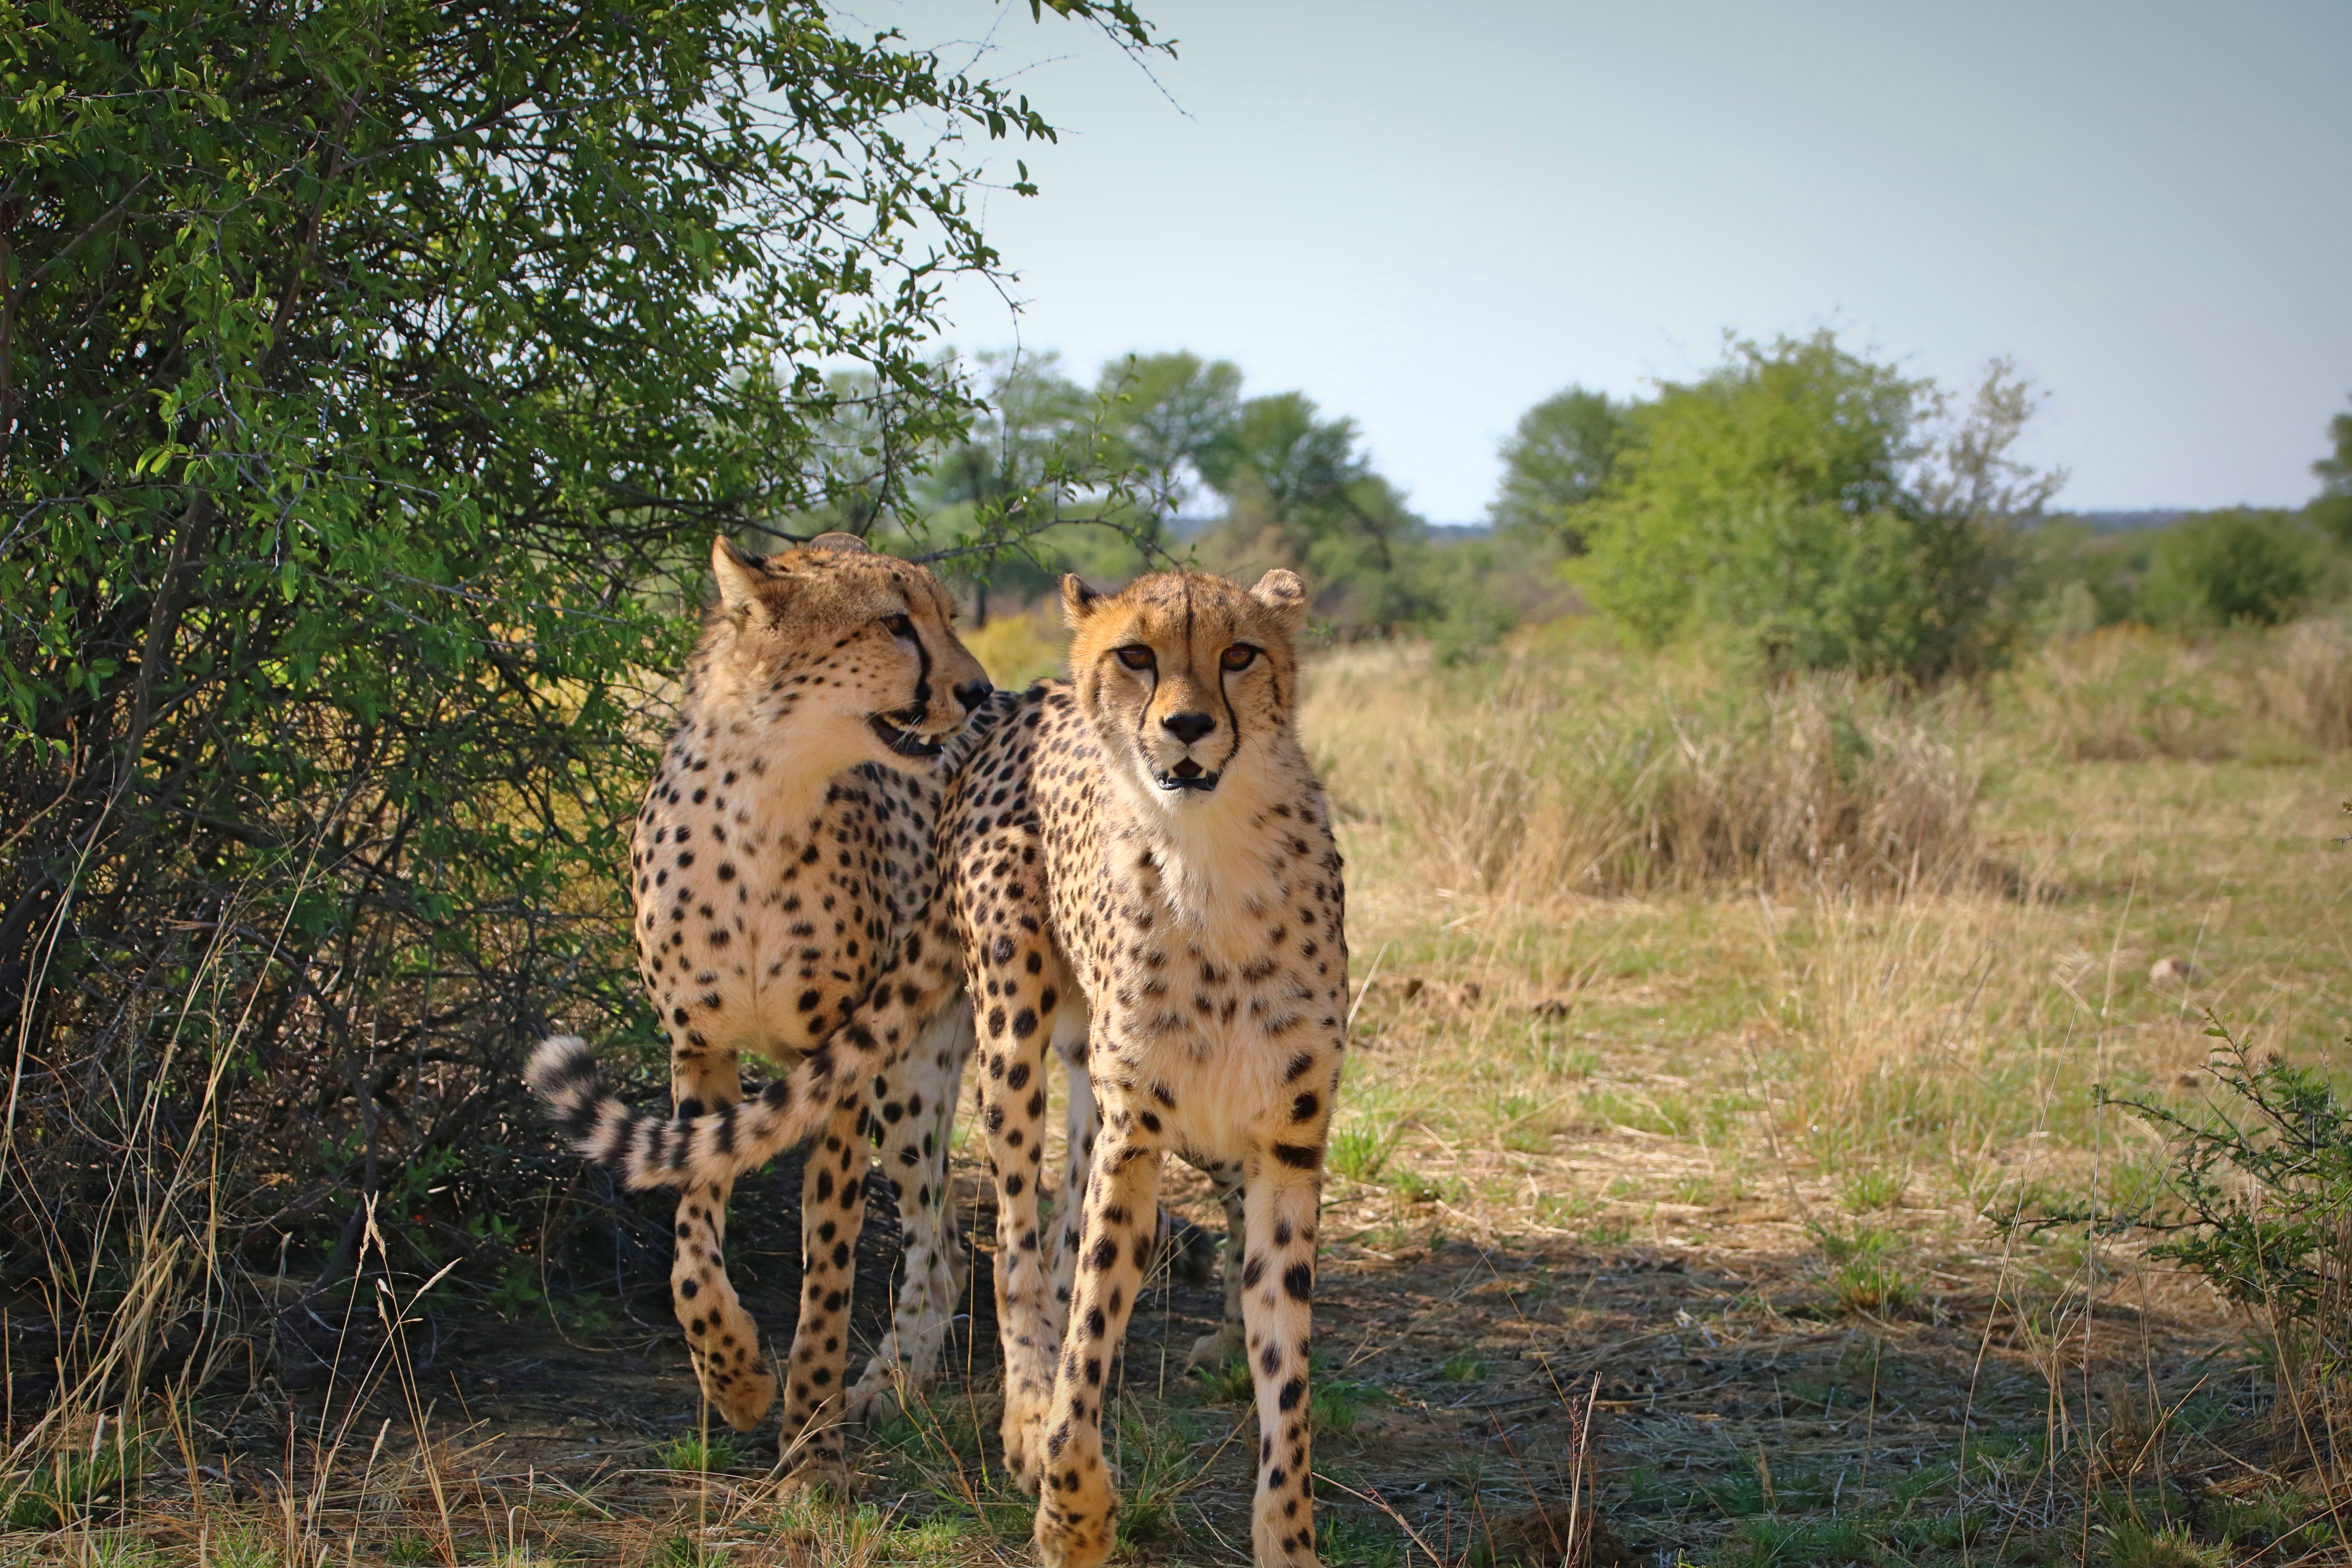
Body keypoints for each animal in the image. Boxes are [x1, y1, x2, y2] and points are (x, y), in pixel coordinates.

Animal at [524, 536, 993, 1486]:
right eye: (896, 623)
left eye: (948, 616)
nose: (977, 692)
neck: (766, 797)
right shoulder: (699, 1052)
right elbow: (690, 1244)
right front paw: (735, 1377)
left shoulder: (837, 1072)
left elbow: (829, 1274)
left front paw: (810, 1442)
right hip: (912, 1084)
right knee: (945, 1250)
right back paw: (889, 1387)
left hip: (932, 1066)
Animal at [936, 571, 1345, 1568]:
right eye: (1136, 654)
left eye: (1240, 653)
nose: (1188, 725)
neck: (1213, 862)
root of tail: (1027, 691)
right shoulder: (1137, 1131)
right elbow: (1087, 1317)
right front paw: (1071, 1508)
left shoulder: (1286, 1138)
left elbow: (1287, 1365)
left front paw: (1288, 1534)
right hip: (1012, 1025)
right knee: (1019, 1235)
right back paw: (1027, 1408)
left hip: (1183, 1114)